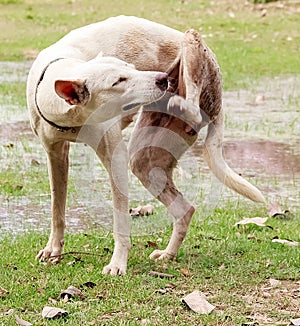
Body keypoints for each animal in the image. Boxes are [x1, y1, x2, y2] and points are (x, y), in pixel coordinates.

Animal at [26, 15, 264, 276]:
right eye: (118, 81)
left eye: (130, 67)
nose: (163, 79)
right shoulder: (55, 155)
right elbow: (57, 209)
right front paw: (53, 251)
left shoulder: (115, 159)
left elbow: (120, 221)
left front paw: (117, 264)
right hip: (145, 162)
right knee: (185, 209)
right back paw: (168, 255)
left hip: (191, 44)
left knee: (192, 98)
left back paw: (183, 102)